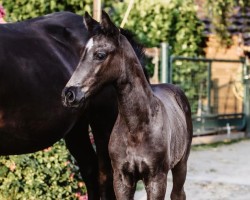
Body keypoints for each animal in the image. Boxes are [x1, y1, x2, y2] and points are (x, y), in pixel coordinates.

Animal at [63, 11, 193, 200]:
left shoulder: (156, 179)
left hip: (181, 164)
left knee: (178, 194)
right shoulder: (122, 179)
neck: (136, 127)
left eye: (100, 55)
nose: (69, 94)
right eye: (82, 54)